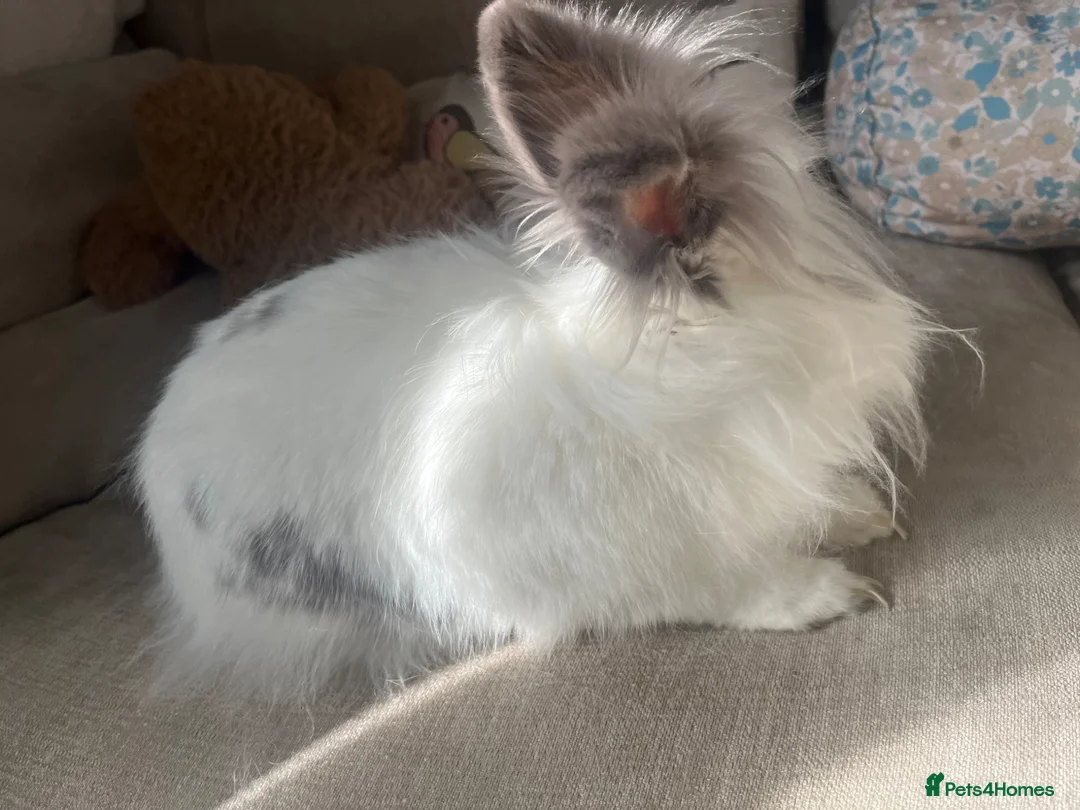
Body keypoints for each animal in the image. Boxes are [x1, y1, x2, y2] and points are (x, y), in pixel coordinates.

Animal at [135, 0, 939, 699]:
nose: (902, 336)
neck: (681, 378)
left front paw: (862, 513)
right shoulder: (625, 572)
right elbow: (728, 586)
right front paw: (830, 593)